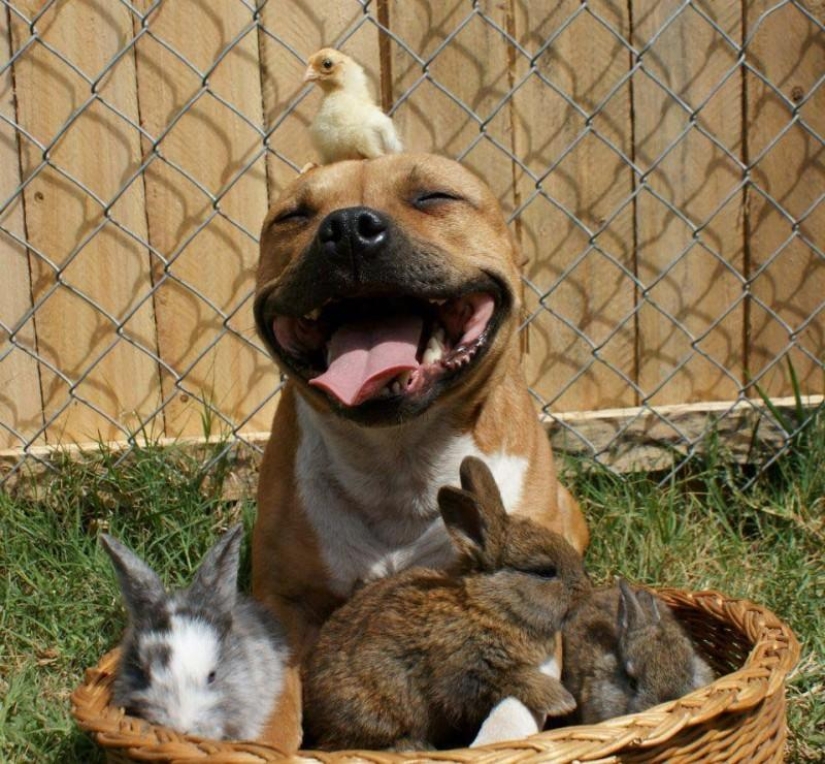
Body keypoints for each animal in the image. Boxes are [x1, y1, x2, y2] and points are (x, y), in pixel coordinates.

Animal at [302, 456, 592, 751]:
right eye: (544, 572)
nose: (586, 590)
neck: (485, 606)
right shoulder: (466, 670)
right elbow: (512, 679)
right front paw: (561, 700)